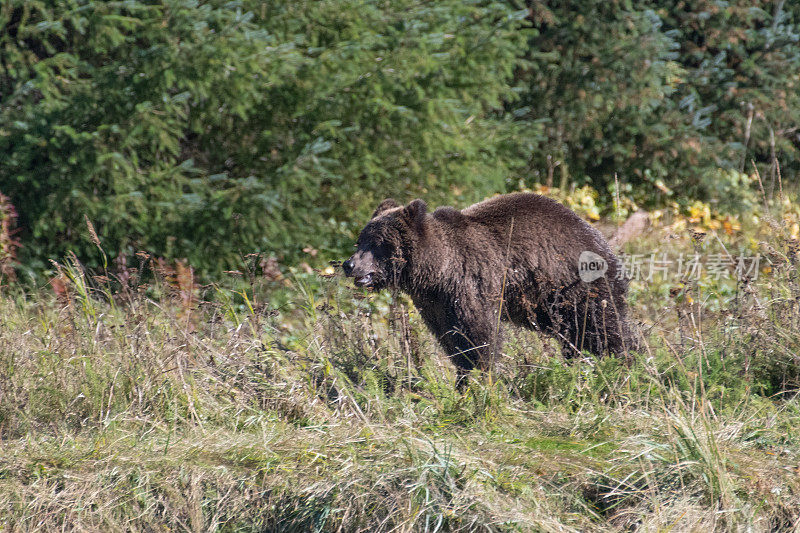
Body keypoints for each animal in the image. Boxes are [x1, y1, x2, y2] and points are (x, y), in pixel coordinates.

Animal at [340, 193, 636, 384]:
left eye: (377, 243)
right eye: (360, 240)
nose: (349, 264)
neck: (436, 272)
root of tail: (602, 240)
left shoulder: (470, 285)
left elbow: (478, 336)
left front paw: (480, 378)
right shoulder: (435, 304)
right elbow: (452, 339)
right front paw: (462, 378)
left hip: (576, 284)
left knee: (603, 325)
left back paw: (628, 362)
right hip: (551, 303)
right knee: (575, 334)